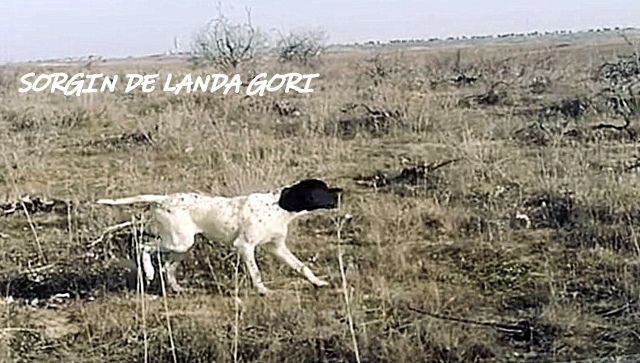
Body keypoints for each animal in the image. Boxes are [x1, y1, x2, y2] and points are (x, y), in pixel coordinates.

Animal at [97, 179, 342, 296]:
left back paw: (177, 289)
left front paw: (317, 282)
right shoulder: (245, 246)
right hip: (178, 242)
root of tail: (163, 199)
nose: (340, 191)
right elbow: (256, 272)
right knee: (144, 247)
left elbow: (302, 267)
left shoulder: (277, 247)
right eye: (322, 189)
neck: (280, 205)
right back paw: (148, 272)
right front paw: (262, 290)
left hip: (183, 246)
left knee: (167, 267)